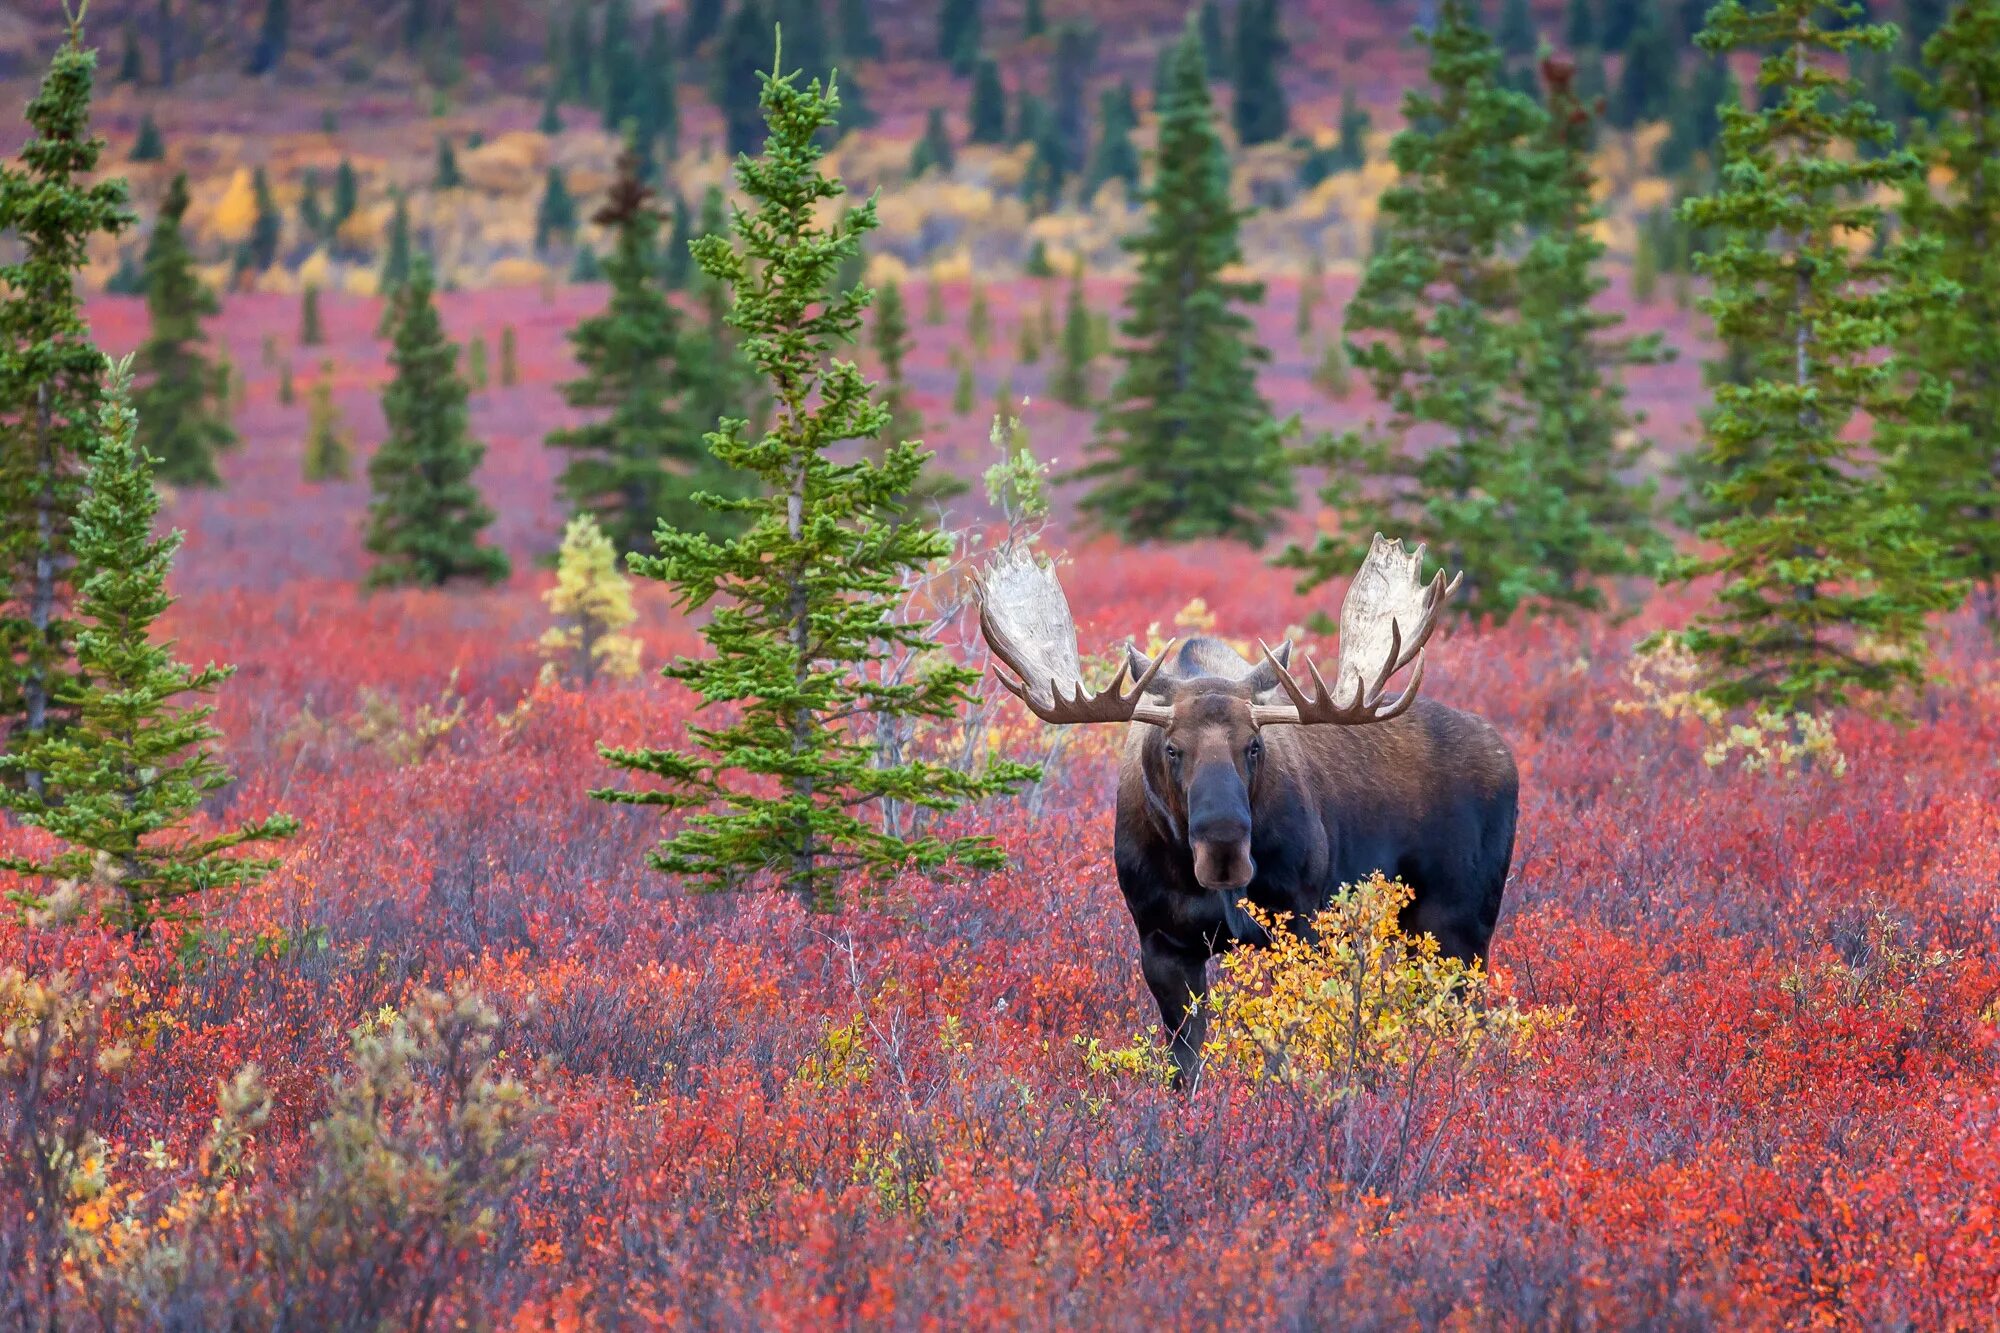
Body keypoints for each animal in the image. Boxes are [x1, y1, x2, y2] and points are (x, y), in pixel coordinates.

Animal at [980, 536, 1512, 1088]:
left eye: (1254, 745)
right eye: (1172, 748)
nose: (1224, 850)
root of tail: (1505, 754)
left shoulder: (1299, 926)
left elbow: (1283, 1049)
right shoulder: (1161, 941)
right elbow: (1185, 1062)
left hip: (1460, 919)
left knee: (1467, 1016)